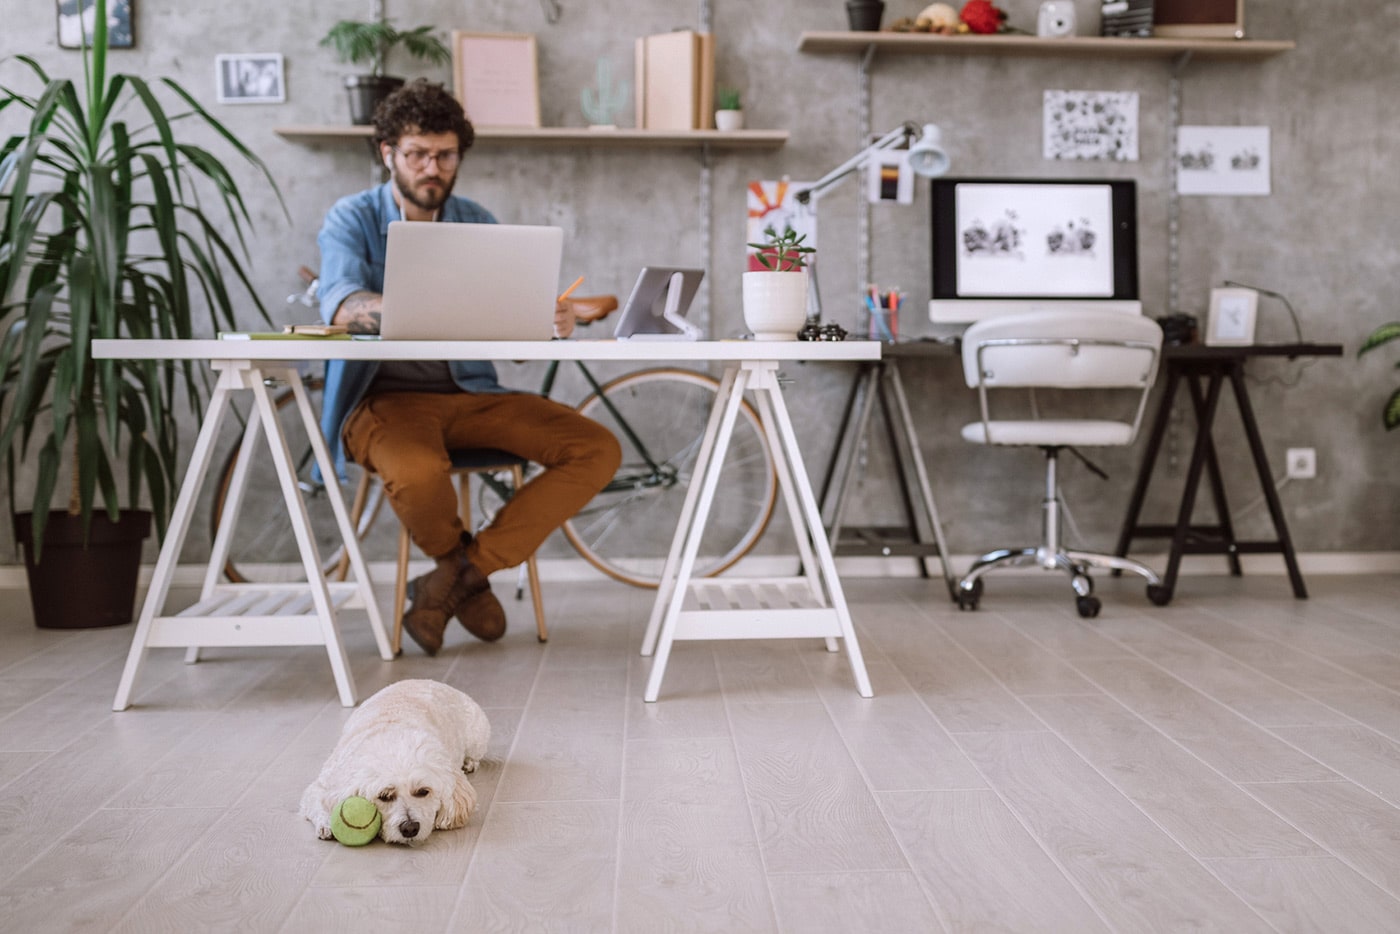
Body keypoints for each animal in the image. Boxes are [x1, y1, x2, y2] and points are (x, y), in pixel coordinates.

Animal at [298, 680, 490, 845]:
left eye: (423, 791)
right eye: (384, 796)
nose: (410, 828)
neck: (393, 731)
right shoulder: (326, 783)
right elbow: (317, 800)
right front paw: (326, 824)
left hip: (477, 737)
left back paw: (470, 762)